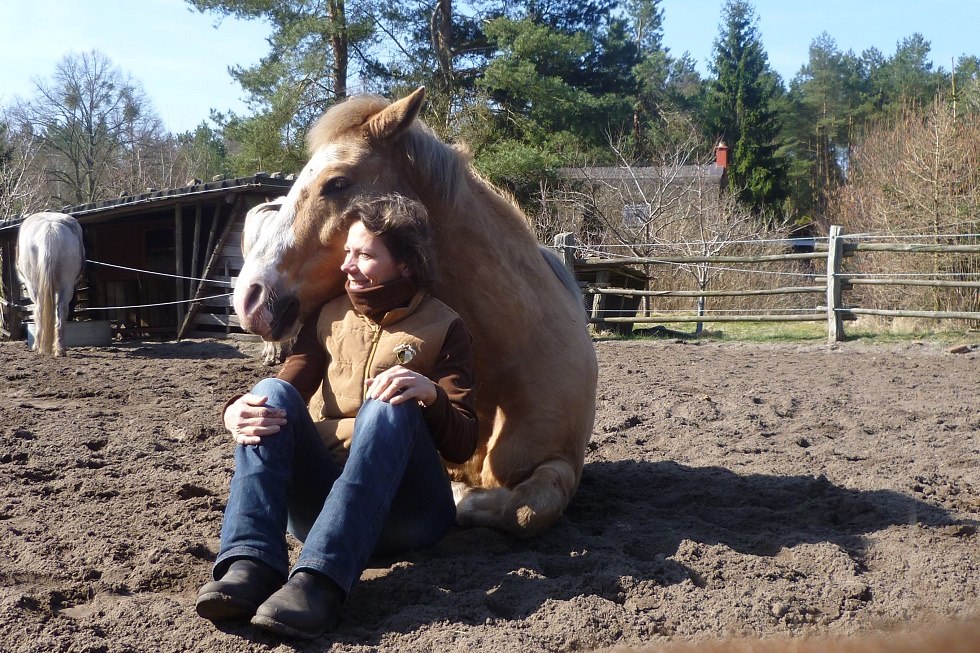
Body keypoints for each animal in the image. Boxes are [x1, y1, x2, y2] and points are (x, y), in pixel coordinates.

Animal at [16, 211, 85, 356]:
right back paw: (59, 348)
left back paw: (38, 345)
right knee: (61, 309)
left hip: (33, 286)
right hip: (66, 284)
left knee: (39, 308)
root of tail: (50, 228)